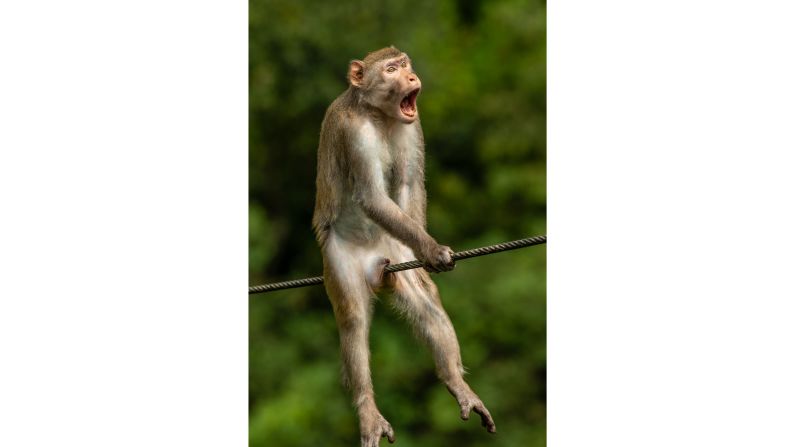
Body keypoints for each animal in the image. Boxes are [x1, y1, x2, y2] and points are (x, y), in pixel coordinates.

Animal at [312, 47, 494, 446]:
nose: (410, 77)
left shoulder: (413, 125)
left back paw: (456, 383)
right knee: (353, 319)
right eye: (392, 69)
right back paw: (368, 410)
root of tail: (374, 263)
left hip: (392, 250)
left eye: (405, 64)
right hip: (339, 259)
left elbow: (410, 183)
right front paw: (432, 250)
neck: (378, 115)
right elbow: (372, 197)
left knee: (426, 304)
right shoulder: (354, 132)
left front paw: (425, 252)